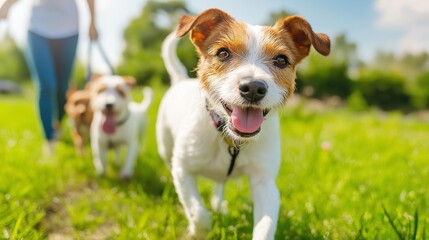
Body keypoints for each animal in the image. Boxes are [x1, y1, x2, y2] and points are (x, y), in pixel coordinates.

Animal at [155, 8, 330, 239]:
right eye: (223, 53)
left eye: (281, 60)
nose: (254, 87)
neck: (231, 139)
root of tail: (180, 80)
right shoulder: (183, 169)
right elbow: (198, 213)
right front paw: (195, 232)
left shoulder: (265, 182)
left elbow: (265, 226)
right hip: (166, 149)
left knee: (219, 184)